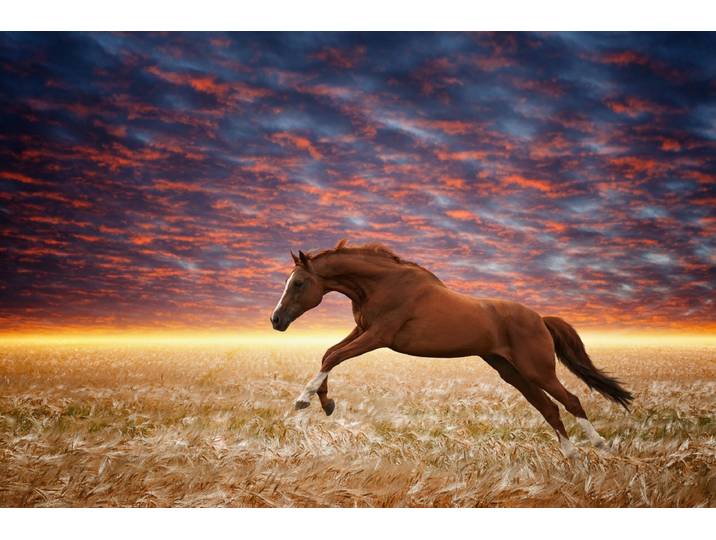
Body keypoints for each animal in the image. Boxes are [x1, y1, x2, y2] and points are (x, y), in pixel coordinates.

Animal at [270, 239, 633, 457]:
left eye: (298, 283)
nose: (276, 320)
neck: (383, 284)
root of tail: (541, 319)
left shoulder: (378, 336)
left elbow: (334, 355)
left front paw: (305, 400)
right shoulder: (362, 330)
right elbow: (328, 354)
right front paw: (326, 403)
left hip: (536, 369)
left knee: (571, 401)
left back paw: (600, 445)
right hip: (511, 372)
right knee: (549, 408)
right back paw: (570, 454)